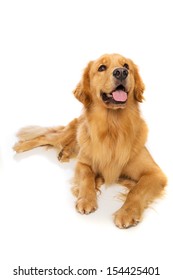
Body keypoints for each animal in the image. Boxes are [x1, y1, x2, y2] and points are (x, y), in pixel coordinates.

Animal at [13, 53, 166, 229]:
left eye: (126, 66)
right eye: (101, 67)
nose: (121, 72)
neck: (113, 128)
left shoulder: (155, 173)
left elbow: (137, 190)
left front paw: (126, 213)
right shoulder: (83, 163)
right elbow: (86, 177)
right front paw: (86, 200)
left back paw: (63, 153)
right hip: (66, 135)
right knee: (45, 137)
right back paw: (21, 146)